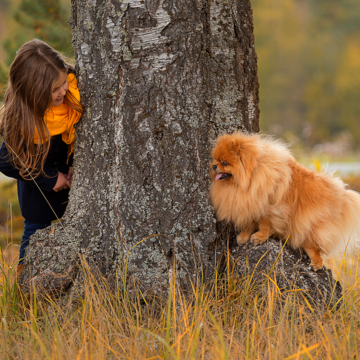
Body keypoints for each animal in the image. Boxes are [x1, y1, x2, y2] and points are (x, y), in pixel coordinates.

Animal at [210, 132, 360, 276]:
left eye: (224, 162)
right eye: (215, 159)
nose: (213, 166)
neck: (250, 177)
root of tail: (340, 195)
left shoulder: (268, 207)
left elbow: (265, 224)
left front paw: (259, 237)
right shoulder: (248, 204)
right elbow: (248, 223)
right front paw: (243, 236)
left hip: (308, 225)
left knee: (314, 247)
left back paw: (316, 263)